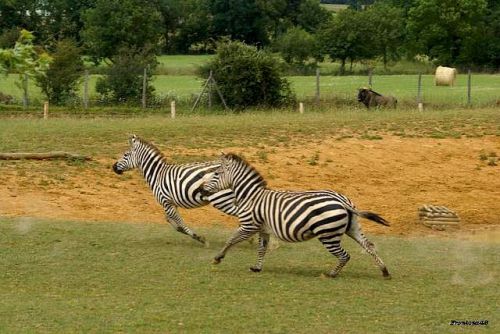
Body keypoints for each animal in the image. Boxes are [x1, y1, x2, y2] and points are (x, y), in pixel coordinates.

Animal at [201, 153, 392, 278]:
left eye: (216, 174)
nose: (202, 189)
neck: (251, 195)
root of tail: (342, 201)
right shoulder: (263, 229)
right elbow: (262, 248)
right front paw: (257, 267)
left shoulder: (249, 225)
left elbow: (230, 240)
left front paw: (217, 259)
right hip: (352, 228)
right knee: (369, 246)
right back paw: (384, 271)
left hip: (327, 234)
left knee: (345, 255)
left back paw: (331, 274)